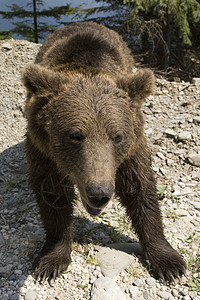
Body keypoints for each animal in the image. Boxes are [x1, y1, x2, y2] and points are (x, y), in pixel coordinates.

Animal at [22, 21, 186, 282]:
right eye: (75, 135)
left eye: (117, 136)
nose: (99, 192)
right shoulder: (44, 151)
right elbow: (52, 194)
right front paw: (51, 260)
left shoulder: (130, 150)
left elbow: (141, 189)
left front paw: (169, 262)